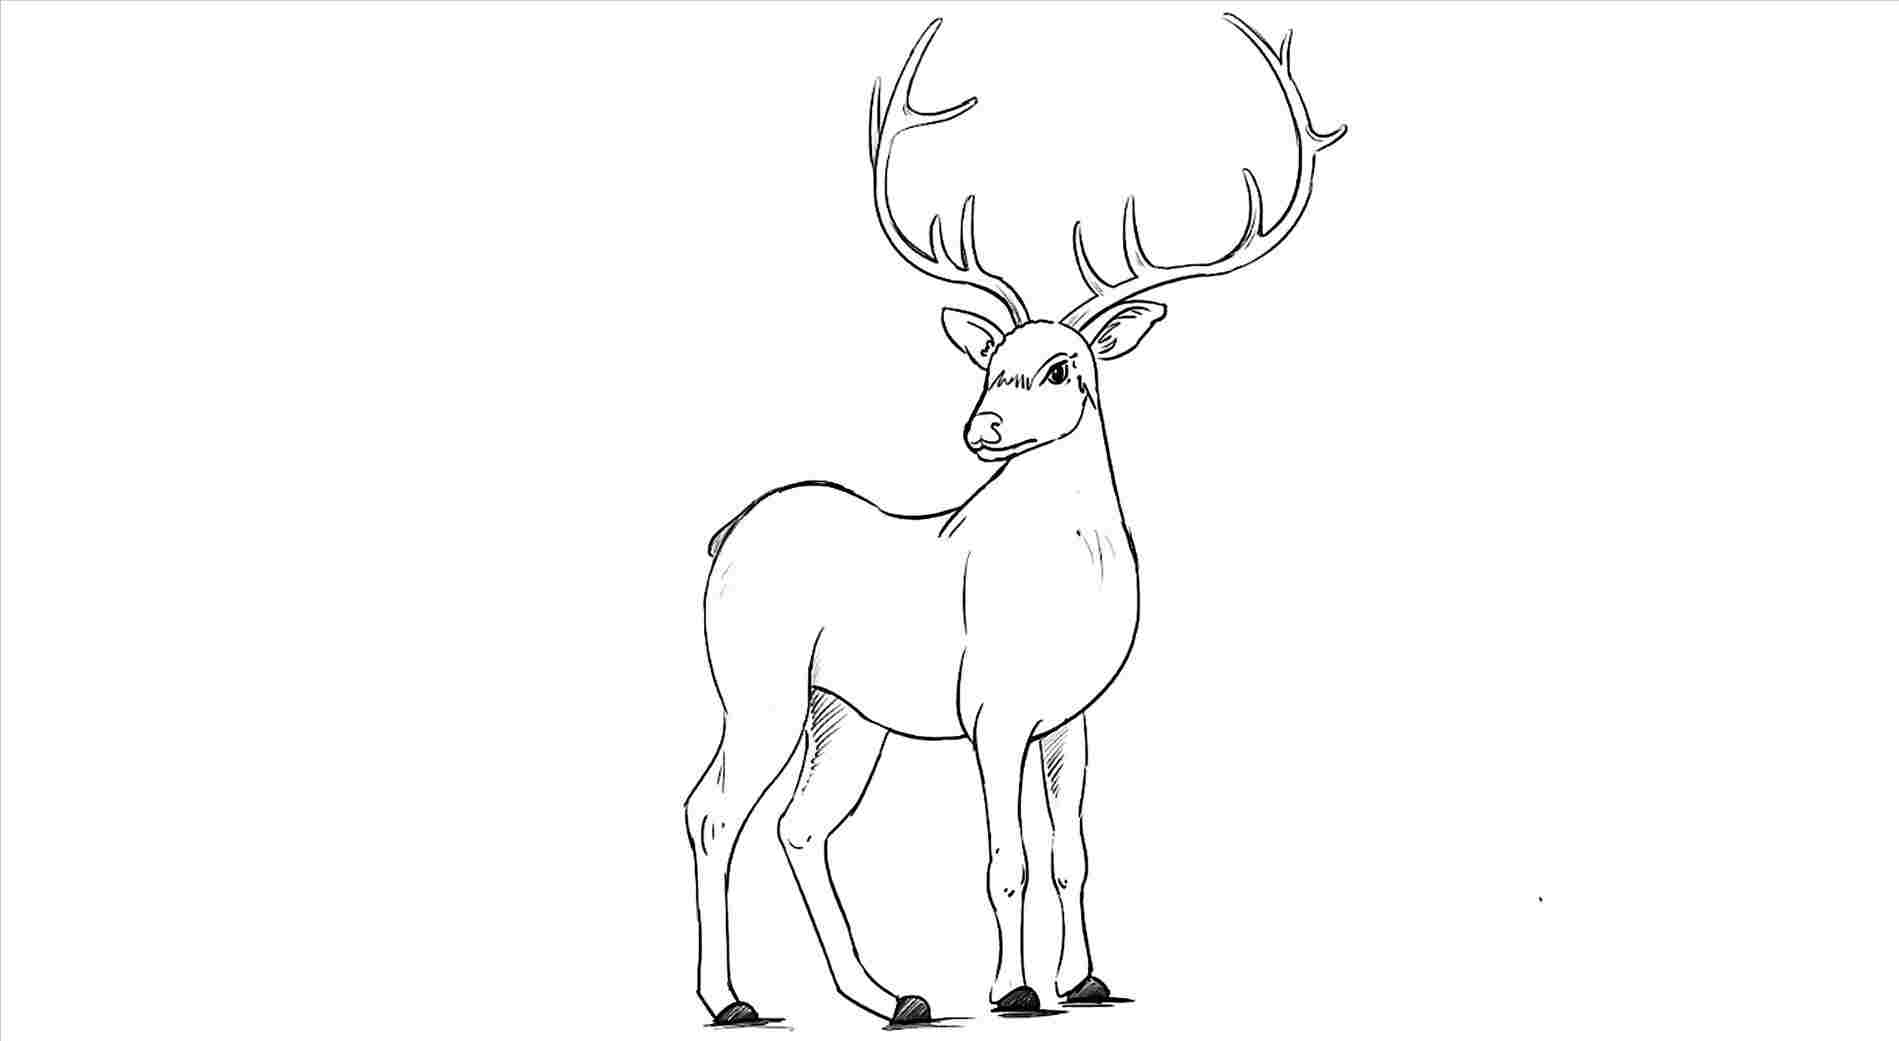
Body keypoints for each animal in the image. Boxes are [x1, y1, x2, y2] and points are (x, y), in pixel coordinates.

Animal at [683, 14, 1344, 1028]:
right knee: (714, 811)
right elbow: (1006, 858)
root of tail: (722, 537)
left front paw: (1088, 978)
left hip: (845, 712)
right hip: (757, 684)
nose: (980, 428)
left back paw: (891, 995)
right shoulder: (990, 712)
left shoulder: (1072, 717)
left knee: (801, 823)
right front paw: (1016, 988)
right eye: (989, 360)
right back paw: (730, 1000)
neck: (1067, 582)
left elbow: (1070, 853)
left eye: (1064, 365)